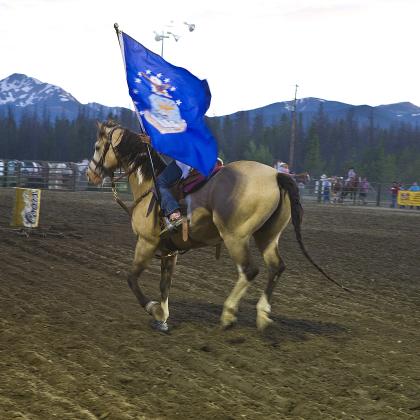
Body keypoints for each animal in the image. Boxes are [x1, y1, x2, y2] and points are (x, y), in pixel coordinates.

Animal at [86, 120, 348, 332]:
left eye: (97, 147)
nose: (90, 175)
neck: (150, 185)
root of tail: (276, 175)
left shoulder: (147, 242)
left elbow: (131, 278)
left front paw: (154, 309)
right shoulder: (170, 251)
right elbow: (164, 285)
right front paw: (163, 317)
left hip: (235, 237)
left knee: (250, 270)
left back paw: (229, 314)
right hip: (267, 236)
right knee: (276, 267)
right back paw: (262, 315)